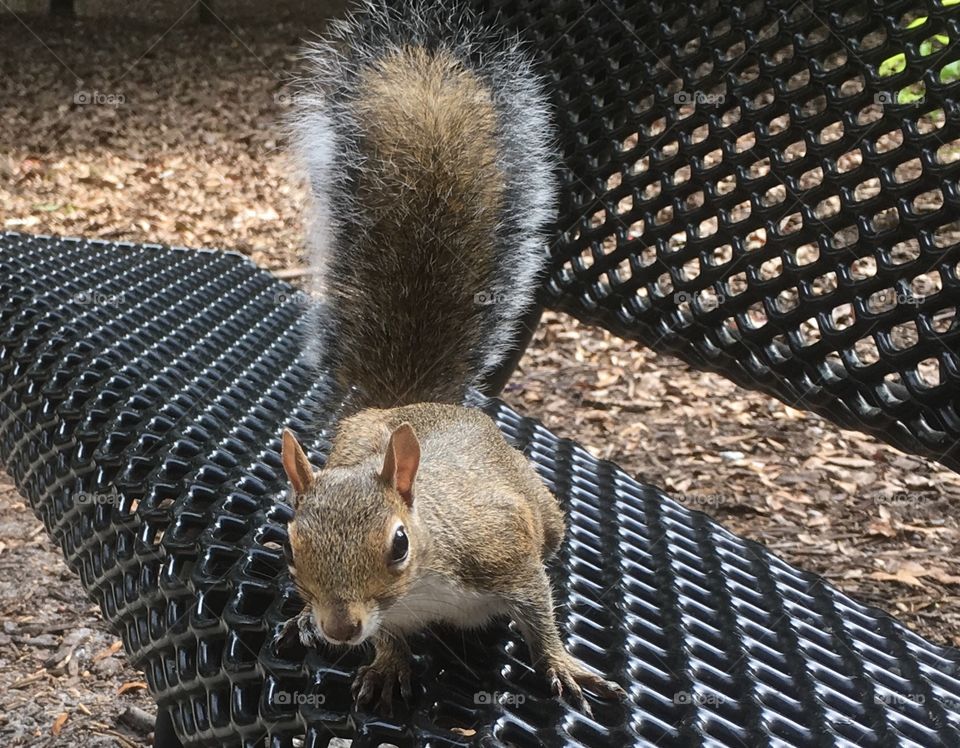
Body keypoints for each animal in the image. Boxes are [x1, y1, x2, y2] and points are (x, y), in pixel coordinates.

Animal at [280, 0, 625, 716]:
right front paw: (385, 663)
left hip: (543, 512)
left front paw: (562, 663)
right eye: (291, 543)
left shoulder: (505, 553)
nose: (339, 627)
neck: (420, 593)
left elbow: (540, 611)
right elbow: (390, 641)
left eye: (398, 544)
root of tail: (415, 401)